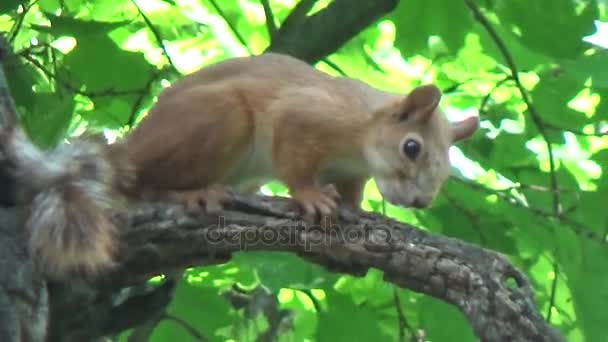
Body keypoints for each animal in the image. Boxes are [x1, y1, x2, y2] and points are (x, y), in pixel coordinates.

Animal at [0, 52, 480, 280]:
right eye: (412, 147)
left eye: (445, 172)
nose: (419, 201)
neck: (361, 135)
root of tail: (128, 151)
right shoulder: (303, 118)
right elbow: (295, 165)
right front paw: (310, 197)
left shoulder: (351, 172)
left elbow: (352, 195)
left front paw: (353, 212)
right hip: (219, 117)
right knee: (145, 182)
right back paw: (192, 192)